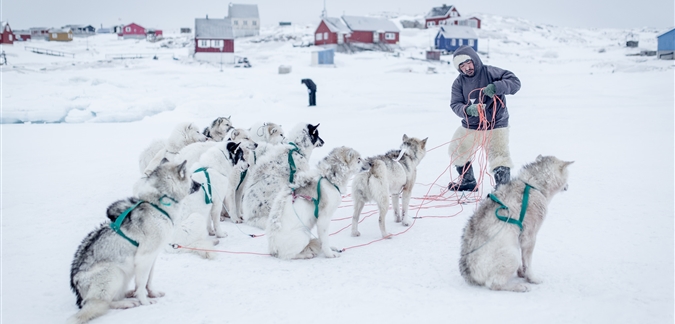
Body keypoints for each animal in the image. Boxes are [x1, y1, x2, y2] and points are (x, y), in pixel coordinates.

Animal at [68, 159, 201, 324]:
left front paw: (151, 293)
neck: (158, 204)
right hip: (114, 273)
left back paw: (129, 294)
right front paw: (145, 302)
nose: (200, 184)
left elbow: (147, 281)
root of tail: (79, 294)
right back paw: (126, 303)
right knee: (106, 303)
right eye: (191, 177)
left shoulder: (152, 258)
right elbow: (142, 284)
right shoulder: (144, 258)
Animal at [456, 156, 572, 292]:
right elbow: (528, 263)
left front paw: (522, 272)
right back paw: (519, 286)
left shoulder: (520, 237)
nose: (568, 186)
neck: (533, 185)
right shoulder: (529, 237)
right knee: (494, 284)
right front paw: (532, 278)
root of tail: (468, 272)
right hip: (512, 254)